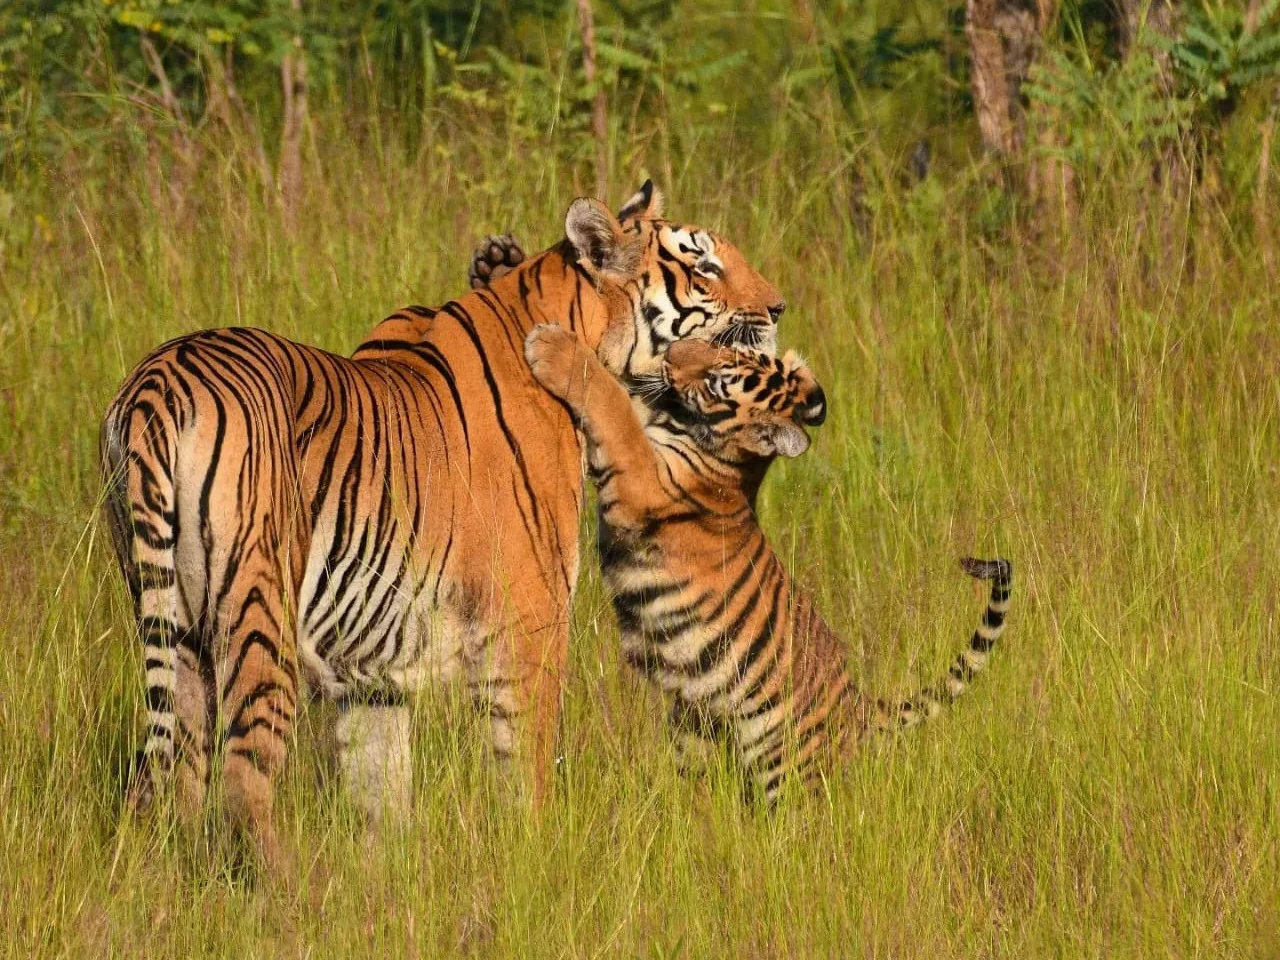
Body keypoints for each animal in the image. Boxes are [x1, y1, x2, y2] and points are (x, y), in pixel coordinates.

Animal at [99, 182, 789, 867]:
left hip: (172, 621)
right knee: (244, 779)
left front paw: (389, 874)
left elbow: (380, 784)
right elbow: (525, 763)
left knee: (169, 772)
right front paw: (531, 861)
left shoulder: (371, 670)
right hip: (257, 602)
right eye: (704, 265)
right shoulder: (531, 618)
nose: (779, 308)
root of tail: (161, 380)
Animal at [521, 325, 1013, 802]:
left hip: (791, 773)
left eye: (716, 382)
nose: (673, 356)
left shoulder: (642, 479)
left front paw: (551, 346)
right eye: (730, 351)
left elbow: (613, 407)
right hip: (696, 730)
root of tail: (858, 704)